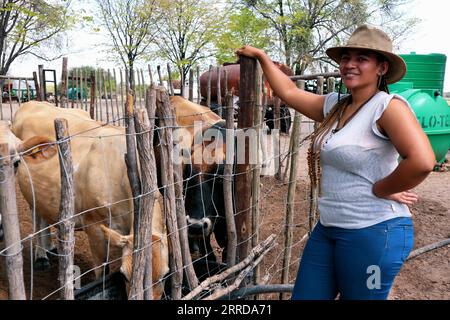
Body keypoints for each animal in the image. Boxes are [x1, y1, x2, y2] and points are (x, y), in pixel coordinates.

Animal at [6, 102, 168, 298]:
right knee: (37, 217)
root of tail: (33, 102)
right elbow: (102, 271)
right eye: (124, 275)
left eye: (164, 276)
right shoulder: (94, 226)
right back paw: (41, 256)